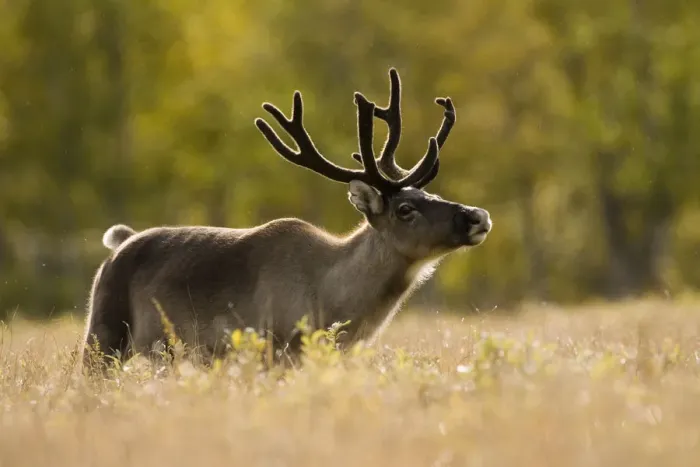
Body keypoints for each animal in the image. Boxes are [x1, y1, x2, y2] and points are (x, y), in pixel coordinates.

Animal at [79, 67, 492, 373]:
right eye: (405, 209)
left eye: (430, 194)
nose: (478, 215)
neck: (335, 301)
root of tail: (120, 243)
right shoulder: (273, 349)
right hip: (103, 333)